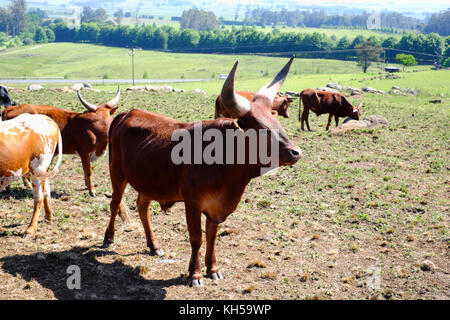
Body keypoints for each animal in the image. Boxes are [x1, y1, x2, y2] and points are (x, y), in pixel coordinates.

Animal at [103, 56, 302, 286]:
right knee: (115, 204)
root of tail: (127, 113)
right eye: (261, 130)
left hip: (148, 182)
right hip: (117, 174)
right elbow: (196, 237)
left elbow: (211, 237)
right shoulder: (193, 203)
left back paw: (154, 246)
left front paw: (213, 269)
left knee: (142, 207)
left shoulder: (216, 208)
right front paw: (195, 274)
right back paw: (108, 238)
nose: (296, 152)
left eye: (277, 122)